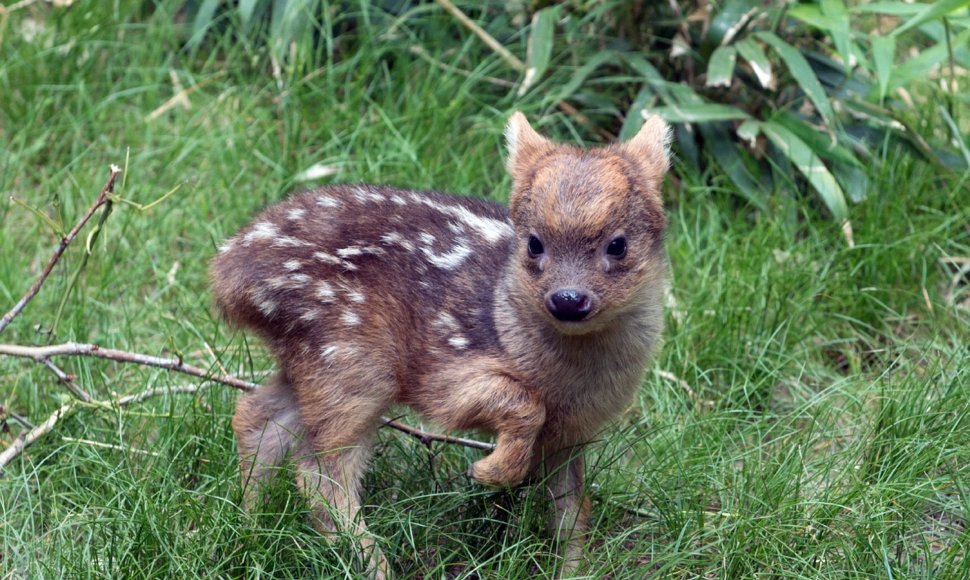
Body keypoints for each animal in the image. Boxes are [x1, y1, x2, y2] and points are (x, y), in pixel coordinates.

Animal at [209, 112, 668, 576]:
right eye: (534, 243)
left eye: (618, 244)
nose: (568, 299)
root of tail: (227, 275)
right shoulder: (445, 374)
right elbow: (522, 404)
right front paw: (488, 471)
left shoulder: (574, 432)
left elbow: (573, 511)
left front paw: (573, 570)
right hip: (351, 357)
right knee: (319, 472)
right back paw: (374, 565)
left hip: (310, 357)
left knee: (257, 417)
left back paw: (249, 526)